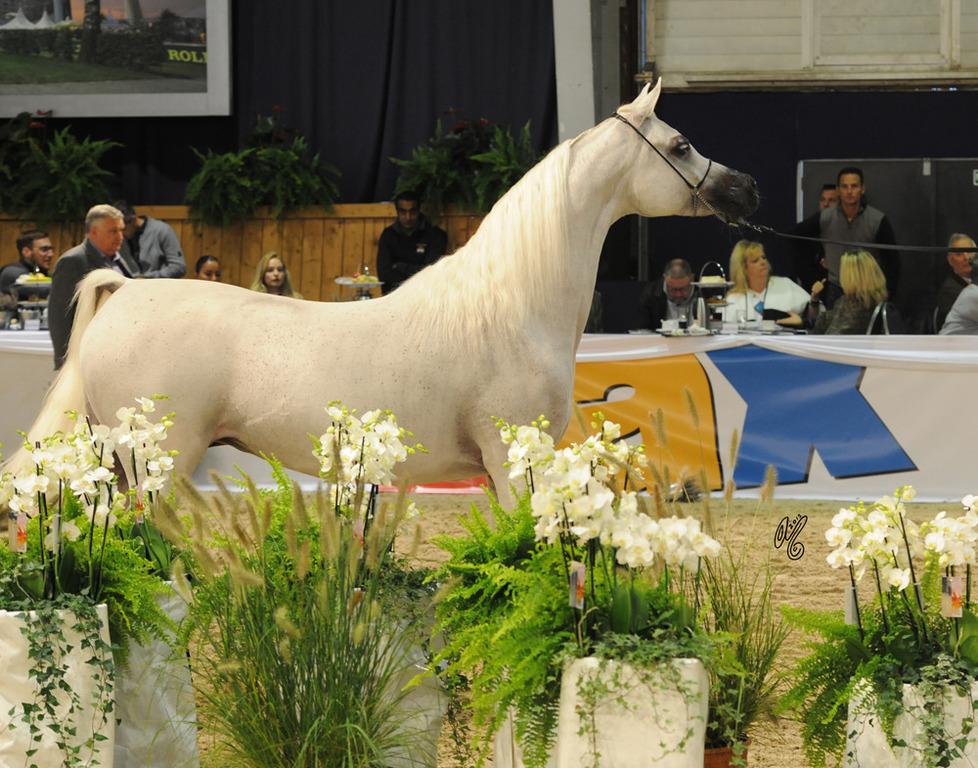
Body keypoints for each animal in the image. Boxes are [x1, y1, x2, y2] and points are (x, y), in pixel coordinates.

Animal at [10, 81, 758, 502]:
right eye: (681, 145)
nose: (746, 189)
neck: (512, 309)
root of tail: (124, 291)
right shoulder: (515, 463)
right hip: (157, 465)